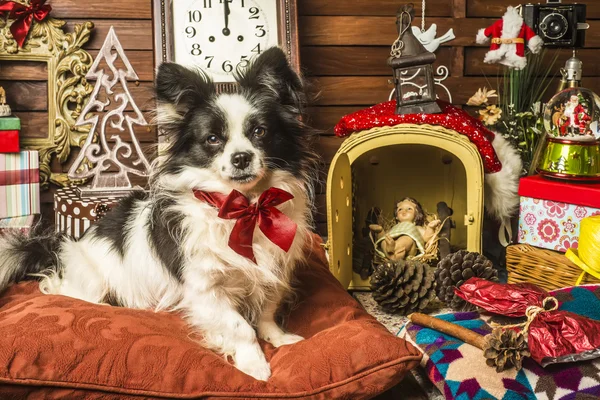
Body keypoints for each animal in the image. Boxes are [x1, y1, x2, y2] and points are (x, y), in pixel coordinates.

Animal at [0, 47, 318, 382]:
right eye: (213, 139)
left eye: (260, 132)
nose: (241, 157)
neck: (246, 208)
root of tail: (63, 248)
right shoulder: (204, 289)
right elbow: (240, 327)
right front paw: (254, 364)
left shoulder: (275, 271)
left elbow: (267, 310)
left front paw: (278, 338)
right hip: (91, 283)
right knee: (59, 289)